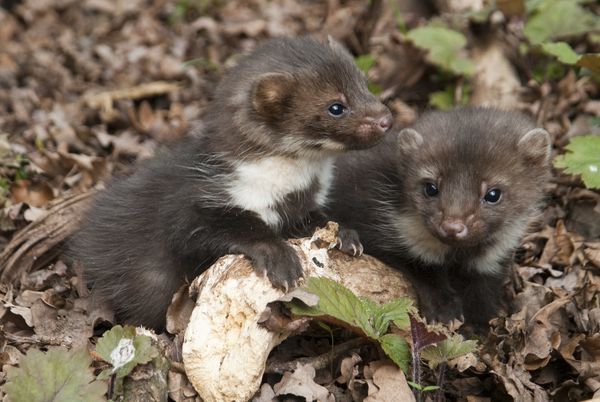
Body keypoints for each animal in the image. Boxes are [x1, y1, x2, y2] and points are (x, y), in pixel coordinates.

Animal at [71, 36, 394, 328]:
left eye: (364, 83)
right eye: (336, 106)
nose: (386, 119)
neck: (292, 185)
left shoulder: (299, 204)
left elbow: (315, 219)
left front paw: (346, 235)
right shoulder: (197, 201)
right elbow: (228, 228)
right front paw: (280, 259)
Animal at [326, 108, 552, 326]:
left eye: (493, 194)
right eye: (431, 187)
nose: (452, 226)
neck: (459, 255)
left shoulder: (492, 259)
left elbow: (483, 294)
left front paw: (482, 324)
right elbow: (424, 270)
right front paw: (445, 311)